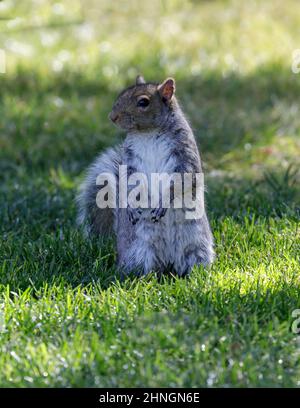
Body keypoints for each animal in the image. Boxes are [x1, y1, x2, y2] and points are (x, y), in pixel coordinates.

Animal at [76, 75, 214, 276]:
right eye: (122, 94)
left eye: (143, 102)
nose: (112, 117)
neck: (148, 133)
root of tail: (168, 263)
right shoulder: (130, 162)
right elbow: (129, 183)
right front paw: (132, 206)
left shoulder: (185, 155)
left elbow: (185, 178)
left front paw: (163, 202)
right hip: (139, 249)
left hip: (197, 246)